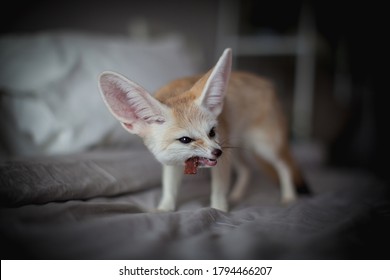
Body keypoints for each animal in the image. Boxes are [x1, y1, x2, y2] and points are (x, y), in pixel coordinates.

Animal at [99, 48, 310, 211]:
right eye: (185, 140)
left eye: (212, 132)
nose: (217, 152)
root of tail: (267, 83)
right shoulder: (173, 164)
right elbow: (169, 189)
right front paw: (163, 210)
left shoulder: (221, 161)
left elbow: (217, 192)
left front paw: (219, 211)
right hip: (235, 150)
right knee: (247, 170)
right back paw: (236, 195)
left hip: (261, 147)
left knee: (284, 167)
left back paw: (289, 196)